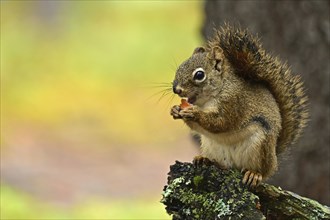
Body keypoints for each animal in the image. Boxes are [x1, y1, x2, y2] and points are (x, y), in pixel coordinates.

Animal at [171, 25, 308, 187]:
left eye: (199, 75)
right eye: (180, 67)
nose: (176, 89)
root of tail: (274, 156)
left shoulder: (234, 102)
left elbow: (221, 123)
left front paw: (194, 113)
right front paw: (175, 110)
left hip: (260, 146)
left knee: (263, 171)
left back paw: (255, 174)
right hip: (210, 146)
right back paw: (205, 159)